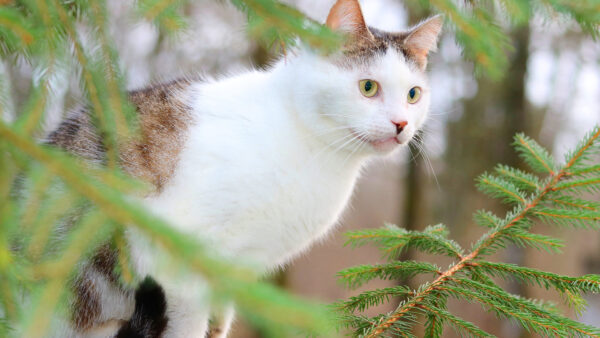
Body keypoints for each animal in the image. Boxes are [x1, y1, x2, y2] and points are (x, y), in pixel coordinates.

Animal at [45, 0, 440, 336]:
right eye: (368, 87)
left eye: (413, 95)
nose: (401, 124)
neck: (314, 148)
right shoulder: (180, 261)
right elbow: (187, 328)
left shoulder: (234, 273)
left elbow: (218, 324)